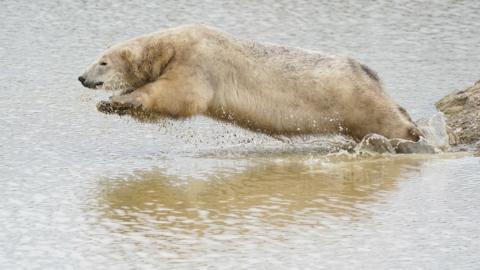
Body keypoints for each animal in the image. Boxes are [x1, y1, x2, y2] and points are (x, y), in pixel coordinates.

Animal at [78, 24, 420, 141]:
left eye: (102, 62)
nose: (81, 78)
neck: (170, 45)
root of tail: (367, 72)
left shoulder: (198, 61)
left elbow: (181, 96)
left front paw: (121, 99)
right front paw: (109, 104)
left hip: (355, 98)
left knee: (388, 119)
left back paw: (413, 135)